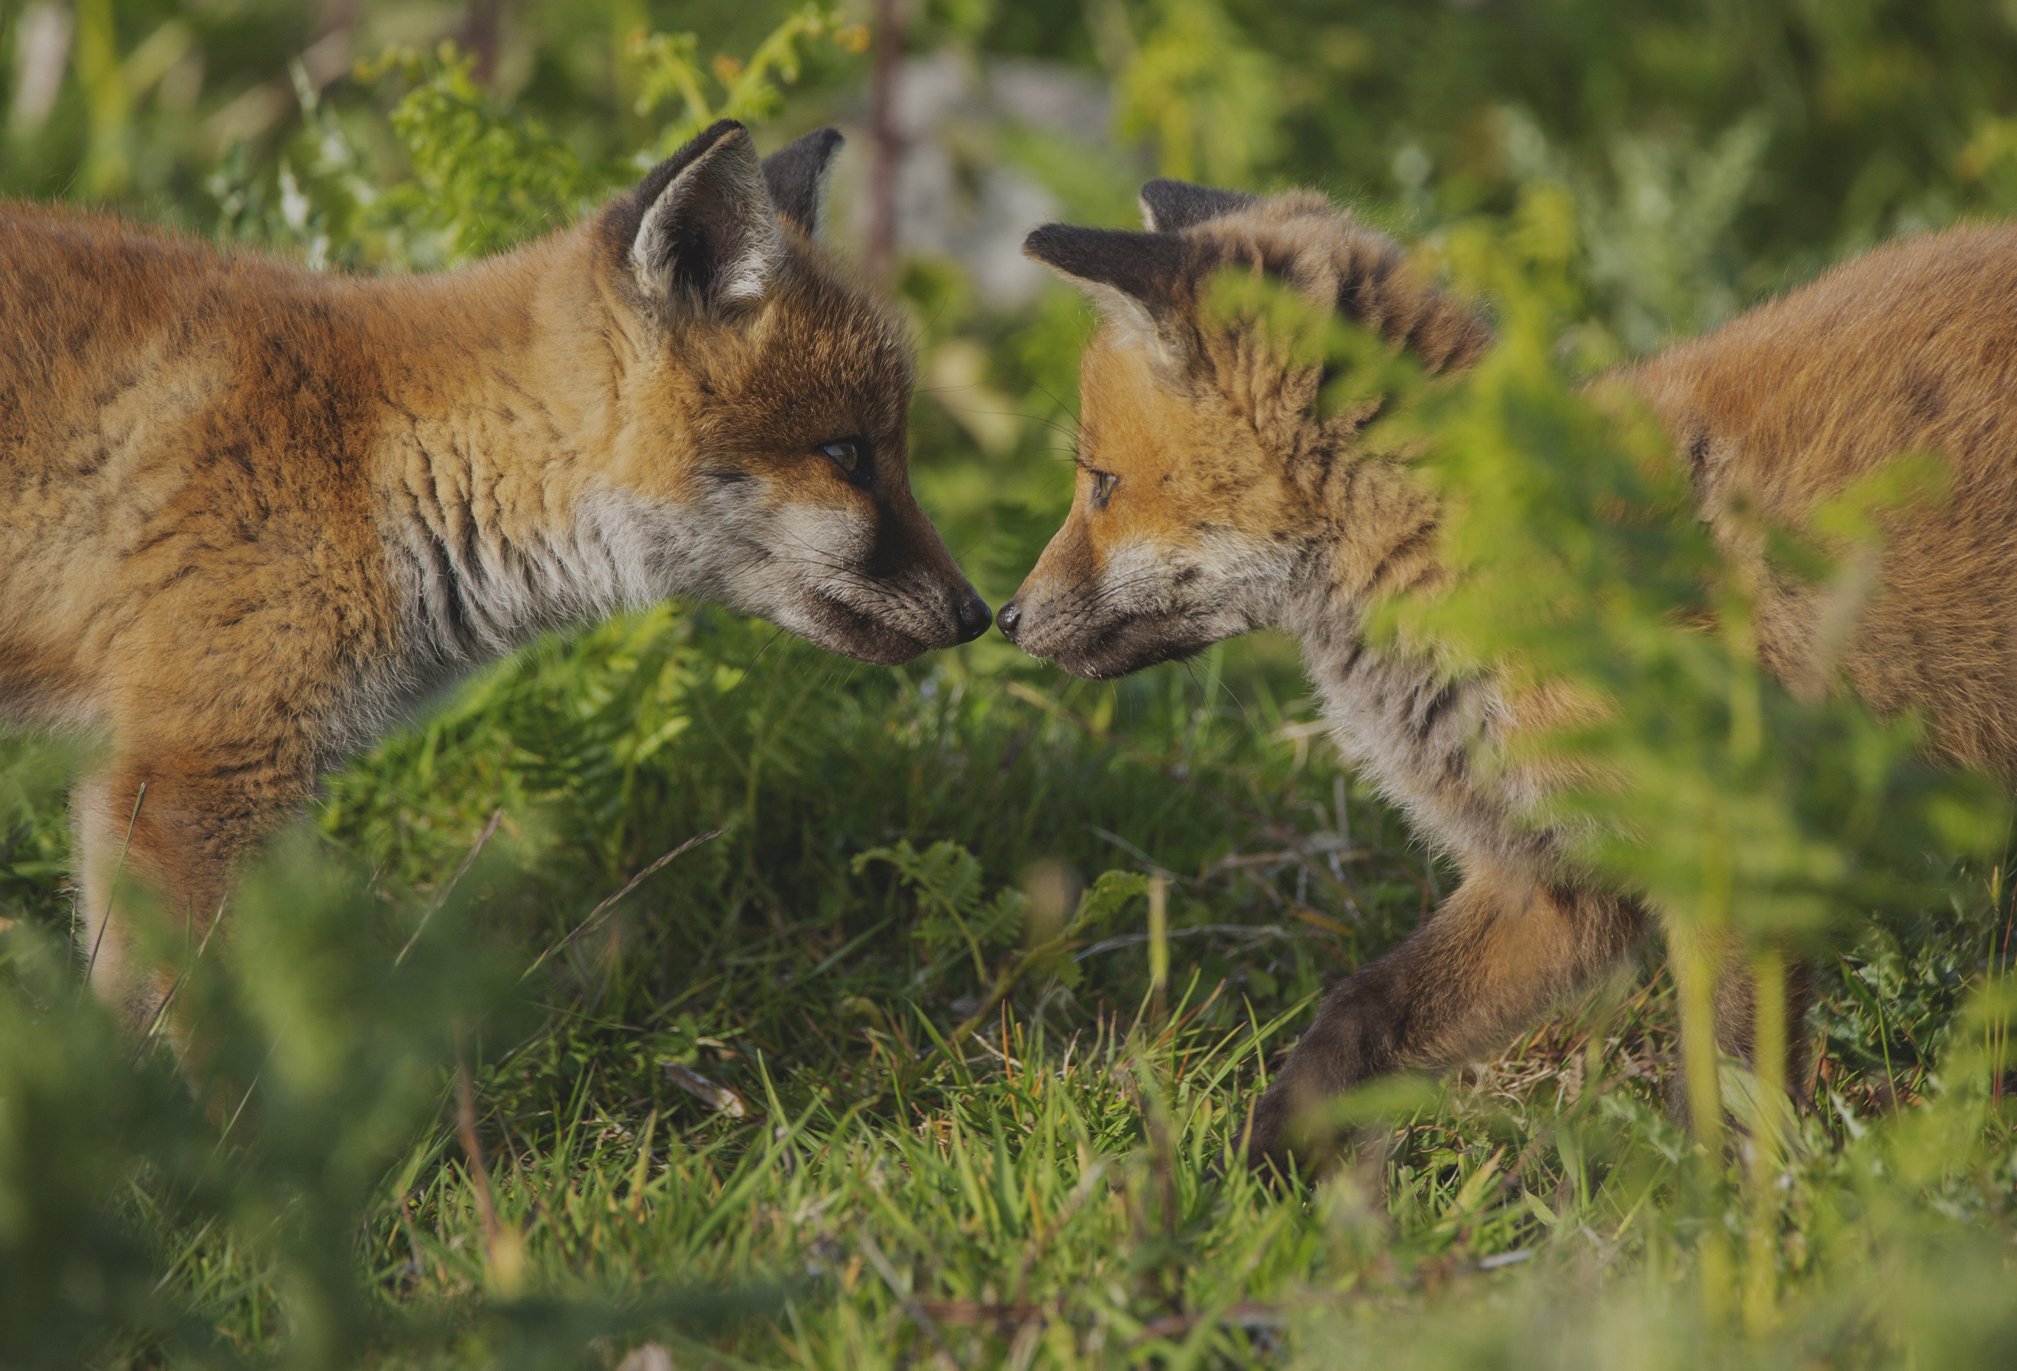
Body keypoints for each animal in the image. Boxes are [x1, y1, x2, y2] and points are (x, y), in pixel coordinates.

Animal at [1002, 177, 2017, 1172]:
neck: (1463, 559)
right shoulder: (1549, 877)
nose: (1005, 617)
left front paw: (1705, 1216)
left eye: (1099, 483)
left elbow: (1723, 1091)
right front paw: (1252, 1185)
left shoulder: (1728, 851)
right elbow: (1354, 1019)